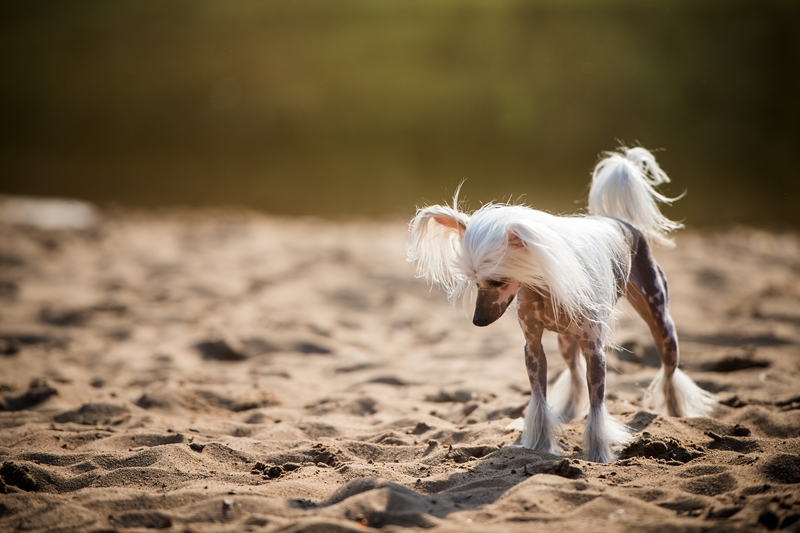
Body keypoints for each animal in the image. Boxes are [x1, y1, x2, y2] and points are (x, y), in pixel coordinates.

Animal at [410, 145, 716, 462]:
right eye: (474, 282)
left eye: (497, 281)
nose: (478, 321)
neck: (543, 288)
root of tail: (621, 222)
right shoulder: (533, 347)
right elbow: (539, 399)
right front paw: (540, 444)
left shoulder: (595, 350)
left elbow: (597, 406)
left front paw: (598, 452)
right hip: (567, 341)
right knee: (574, 371)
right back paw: (569, 410)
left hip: (661, 323)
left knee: (669, 371)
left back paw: (675, 411)